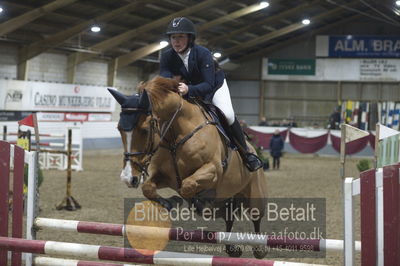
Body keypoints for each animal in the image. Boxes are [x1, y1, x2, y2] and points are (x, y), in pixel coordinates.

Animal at [108, 76, 268, 258]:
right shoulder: (165, 176)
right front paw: (172, 202)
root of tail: (252, 148)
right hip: (228, 198)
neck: (176, 135)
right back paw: (232, 248)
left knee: (256, 217)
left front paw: (196, 202)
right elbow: (149, 188)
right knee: (228, 218)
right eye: (119, 129)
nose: (128, 178)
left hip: (255, 194)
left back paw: (259, 250)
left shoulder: (213, 169)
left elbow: (187, 186)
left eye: (144, 130)